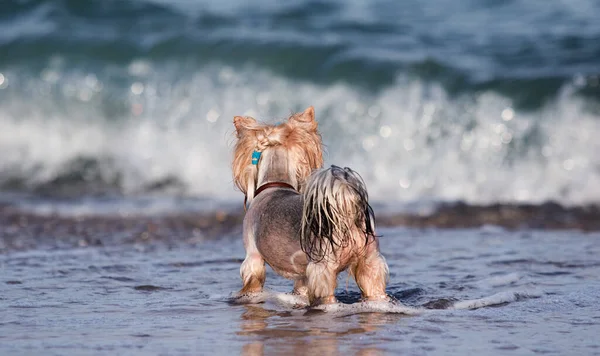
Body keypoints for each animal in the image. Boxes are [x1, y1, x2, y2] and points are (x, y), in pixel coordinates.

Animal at [230, 106, 390, 306]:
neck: (276, 183)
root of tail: (345, 207)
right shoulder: (303, 276)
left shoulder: (253, 258)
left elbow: (252, 280)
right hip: (370, 262)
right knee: (374, 288)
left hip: (322, 267)